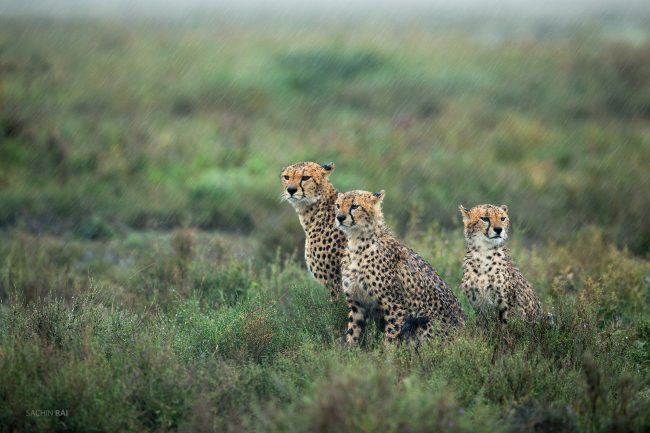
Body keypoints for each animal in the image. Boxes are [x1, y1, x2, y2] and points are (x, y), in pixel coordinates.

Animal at [336, 190, 465, 345]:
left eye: (354, 206)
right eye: (337, 205)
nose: (339, 217)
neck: (357, 243)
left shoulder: (396, 306)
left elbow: (390, 338)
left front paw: (386, 352)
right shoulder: (357, 304)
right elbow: (353, 332)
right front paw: (349, 349)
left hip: (425, 323)